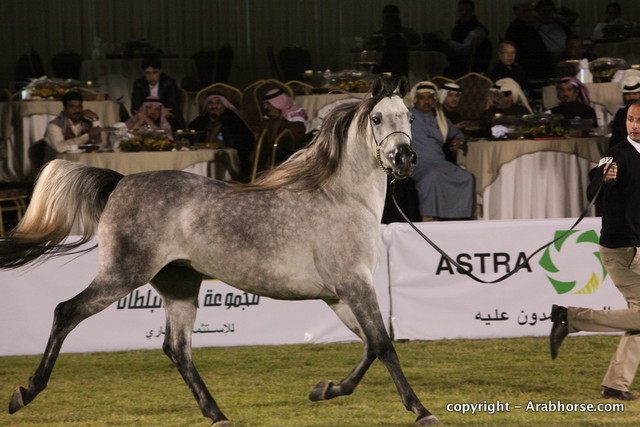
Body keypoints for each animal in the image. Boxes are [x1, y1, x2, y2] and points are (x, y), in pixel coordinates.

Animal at [0, 78, 439, 425]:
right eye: (378, 119)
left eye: (409, 118)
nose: (404, 158)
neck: (344, 200)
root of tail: (121, 181)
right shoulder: (354, 286)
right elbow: (383, 344)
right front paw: (421, 411)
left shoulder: (339, 296)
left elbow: (371, 345)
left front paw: (325, 389)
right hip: (122, 275)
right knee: (66, 312)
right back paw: (25, 393)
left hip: (178, 285)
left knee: (177, 349)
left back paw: (217, 414)